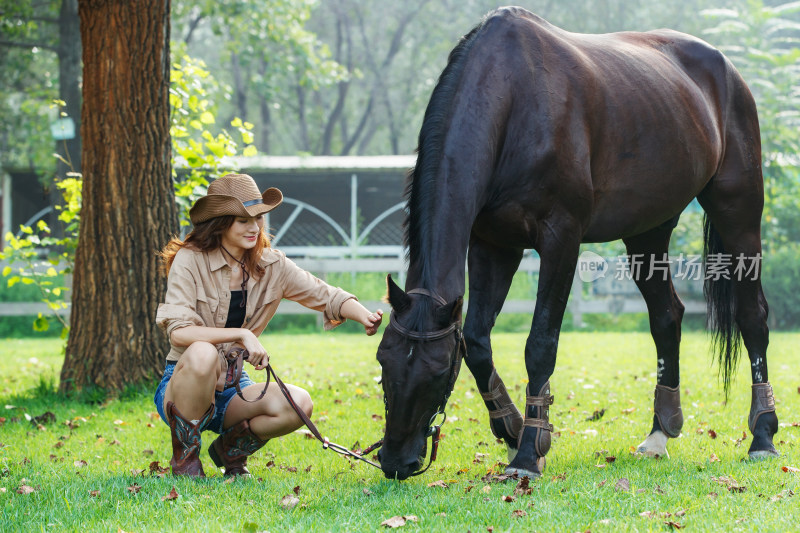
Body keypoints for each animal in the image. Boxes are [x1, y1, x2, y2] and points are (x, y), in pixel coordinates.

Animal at [376, 5, 780, 478]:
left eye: (438, 372)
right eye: (383, 360)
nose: (395, 460)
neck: (513, 100)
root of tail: (728, 72)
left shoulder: (561, 240)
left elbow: (540, 343)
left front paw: (530, 451)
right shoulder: (494, 244)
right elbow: (475, 341)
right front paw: (513, 430)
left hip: (739, 212)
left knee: (752, 316)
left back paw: (763, 435)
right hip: (647, 229)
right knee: (667, 317)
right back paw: (660, 432)